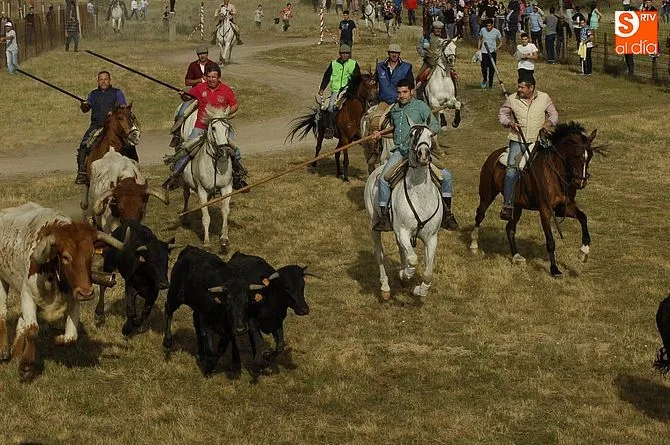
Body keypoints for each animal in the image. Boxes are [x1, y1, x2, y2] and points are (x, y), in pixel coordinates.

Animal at [181, 105, 235, 251]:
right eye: (214, 128)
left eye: (227, 128)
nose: (224, 150)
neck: (215, 162)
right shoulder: (202, 190)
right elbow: (206, 217)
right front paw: (206, 242)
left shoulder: (226, 188)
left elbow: (225, 211)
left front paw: (224, 239)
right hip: (185, 183)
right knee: (186, 196)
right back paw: (185, 218)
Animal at [364, 118, 442, 300]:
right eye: (412, 135)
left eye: (430, 135)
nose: (423, 154)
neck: (420, 197)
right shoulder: (403, 232)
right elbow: (413, 259)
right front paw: (405, 275)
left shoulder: (431, 237)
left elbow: (428, 272)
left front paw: (419, 290)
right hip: (374, 225)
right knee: (379, 255)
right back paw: (385, 287)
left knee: (401, 250)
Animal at [469, 122, 600, 277]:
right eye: (577, 155)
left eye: (590, 155)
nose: (581, 183)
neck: (554, 172)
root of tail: (493, 155)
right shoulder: (545, 209)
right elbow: (550, 241)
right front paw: (554, 269)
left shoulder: (565, 207)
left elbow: (583, 218)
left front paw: (583, 252)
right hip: (487, 195)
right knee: (480, 215)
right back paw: (474, 245)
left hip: (516, 206)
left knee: (510, 229)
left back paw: (516, 256)